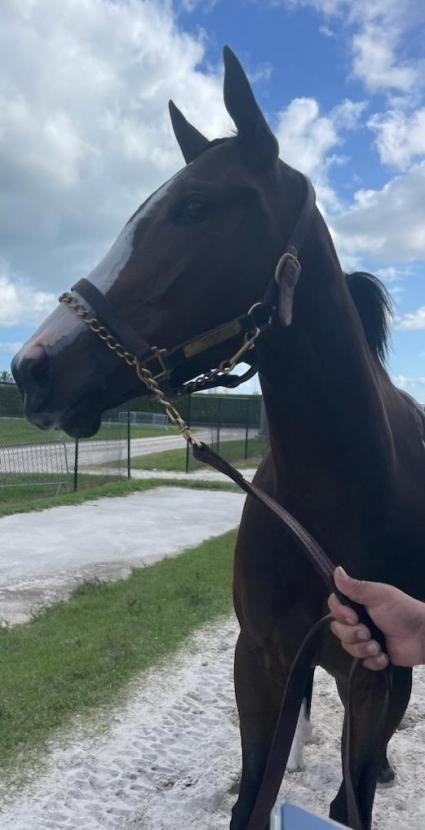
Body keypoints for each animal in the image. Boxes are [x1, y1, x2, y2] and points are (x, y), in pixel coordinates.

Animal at [11, 47, 424, 830]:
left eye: (194, 207)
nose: (29, 368)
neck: (331, 500)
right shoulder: (259, 663)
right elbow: (254, 793)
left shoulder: (375, 675)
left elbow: (349, 796)